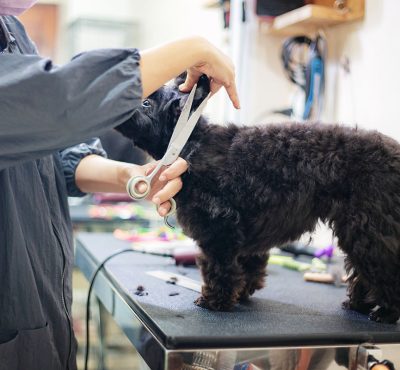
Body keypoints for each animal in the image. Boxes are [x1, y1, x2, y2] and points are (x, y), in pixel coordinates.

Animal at [115, 75, 400, 324]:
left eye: (146, 103)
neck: (192, 144)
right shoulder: (247, 234)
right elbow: (248, 266)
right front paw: (242, 293)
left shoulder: (219, 229)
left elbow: (219, 268)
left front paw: (215, 301)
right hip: (362, 231)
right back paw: (358, 304)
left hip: (369, 229)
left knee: (384, 269)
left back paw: (385, 312)